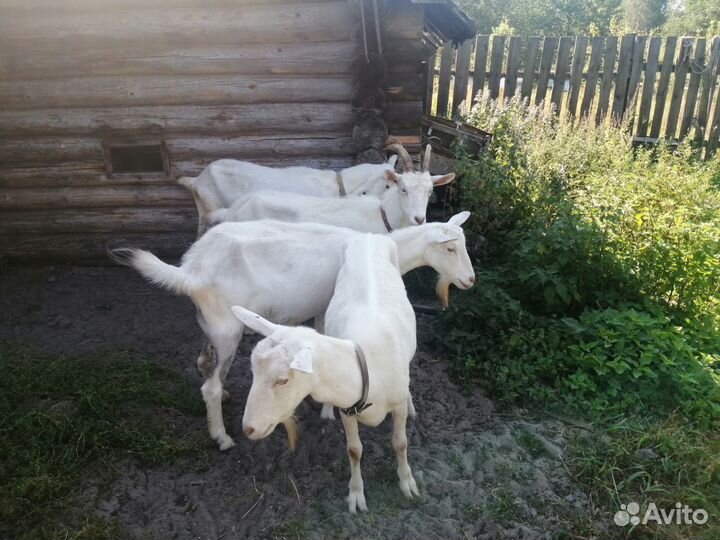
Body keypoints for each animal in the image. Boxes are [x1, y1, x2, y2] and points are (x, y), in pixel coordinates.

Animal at [110, 214, 473, 450]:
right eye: (450, 249)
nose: (469, 280)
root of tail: (191, 269)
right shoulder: (325, 305)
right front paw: (328, 412)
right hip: (227, 328)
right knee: (208, 387)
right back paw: (222, 437)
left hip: (210, 323)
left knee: (205, 364)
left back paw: (223, 397)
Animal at [232, 233, 419, 513]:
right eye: (253, 372)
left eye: (283, 380)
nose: (249, 429)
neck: (366, 365)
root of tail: (369, 236)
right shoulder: (348, 409)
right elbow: (354, 450)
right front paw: (356, 495)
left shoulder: (395, 406)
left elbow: (400, 443)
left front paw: (407, 483)